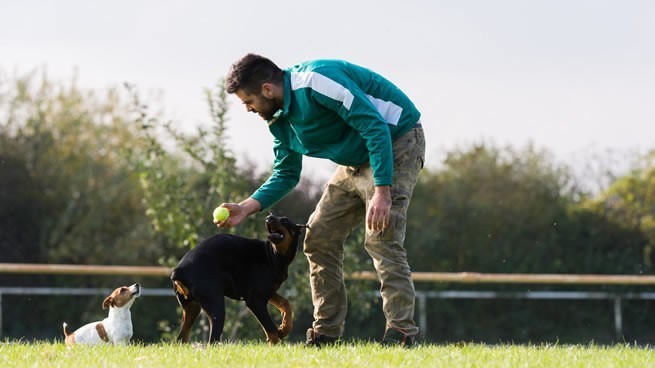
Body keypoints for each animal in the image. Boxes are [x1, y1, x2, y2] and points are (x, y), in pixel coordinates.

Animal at [172, 214, 310, 344]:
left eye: (285, 220)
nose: (268, 217)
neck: (274, 255)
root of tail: (179, 270)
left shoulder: (267, 292)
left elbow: (286, 303)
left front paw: (284, 328)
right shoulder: (255, 300)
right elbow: (271, 331)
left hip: (192, 307)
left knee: (181, 338)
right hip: (215, 305)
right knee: (213, 340)